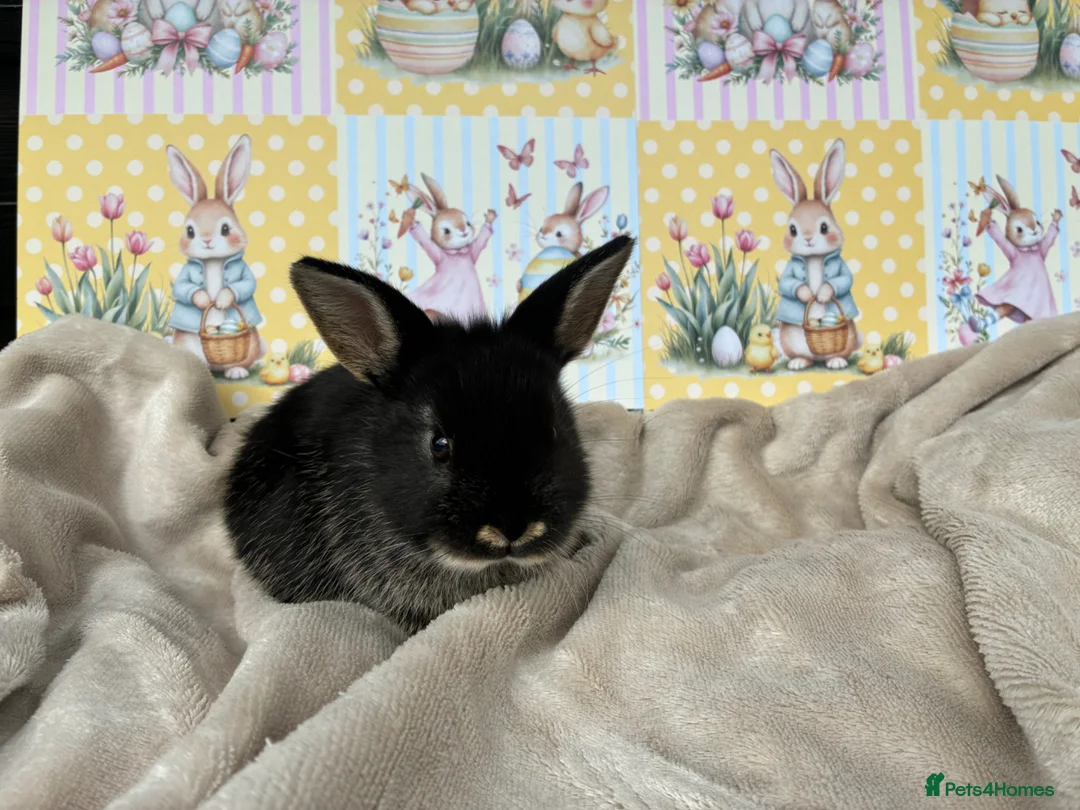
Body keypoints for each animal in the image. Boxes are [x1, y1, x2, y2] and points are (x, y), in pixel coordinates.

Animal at [164, 134, 267, 379]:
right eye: (190, 231)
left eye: (226, 229)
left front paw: (220, 300)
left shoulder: (243, 273)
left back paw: (236, 372)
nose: (207, 241)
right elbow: (183, 288)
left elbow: (245, 284)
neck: (213, 262)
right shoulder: (185, 275)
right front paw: (204, 301)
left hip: (252, 344)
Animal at [403, 173, 497, 324]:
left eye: (468, 223)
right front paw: (411, 221)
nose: (463, 230)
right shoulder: (438, 254)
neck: (457, 253)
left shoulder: (472, 251)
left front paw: (490, 217)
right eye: (446, 231)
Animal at [770, 138, 862, 371]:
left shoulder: (841, 268)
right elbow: (788, 283)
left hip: (849, 336)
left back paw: (836, 361)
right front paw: (807, 295)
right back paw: (799, 363)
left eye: (824, 227)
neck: (813, 259)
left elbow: (843, 279)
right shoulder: (789, 272)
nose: (808, 239)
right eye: (793, 229)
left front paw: (820, 295)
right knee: (806, 357)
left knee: (836, 355)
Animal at [968, 176, 1061, 330]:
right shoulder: (1012, 251)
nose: (1034, 230)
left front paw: (1057, 217)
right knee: (1004, 308)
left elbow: (1049, 238)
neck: (1028, 250)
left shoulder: (1042, 249)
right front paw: (988, 220)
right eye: (1019, 229)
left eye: (1037, 222)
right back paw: (975, 324)